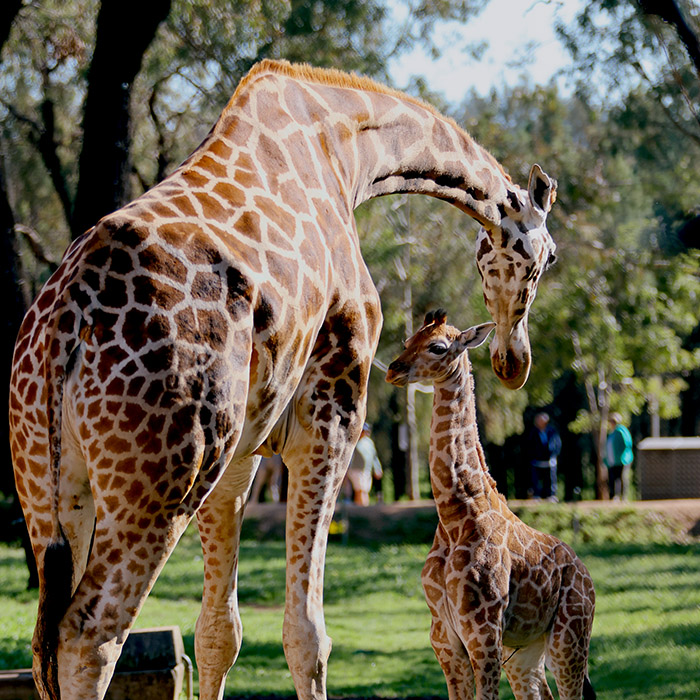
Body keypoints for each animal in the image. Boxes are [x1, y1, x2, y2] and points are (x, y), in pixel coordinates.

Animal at [8, 60, 556, 700]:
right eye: (547, 257)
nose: (514, 364)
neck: (348, 151)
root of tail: (65, 322)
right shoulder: (333, 409)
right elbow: (307, 634)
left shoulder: (242, 451)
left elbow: (218, 633)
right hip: (163, 477)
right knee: (89, 637)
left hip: (51, 485)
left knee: (48, 647)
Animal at [386, 312, 592, 700]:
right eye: (407, 341)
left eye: (437, 347)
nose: (394, 369)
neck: (454, 516)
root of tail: (586, 574)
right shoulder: (443, 637)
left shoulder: (483, 633)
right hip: (525, 650)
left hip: (569, 639)